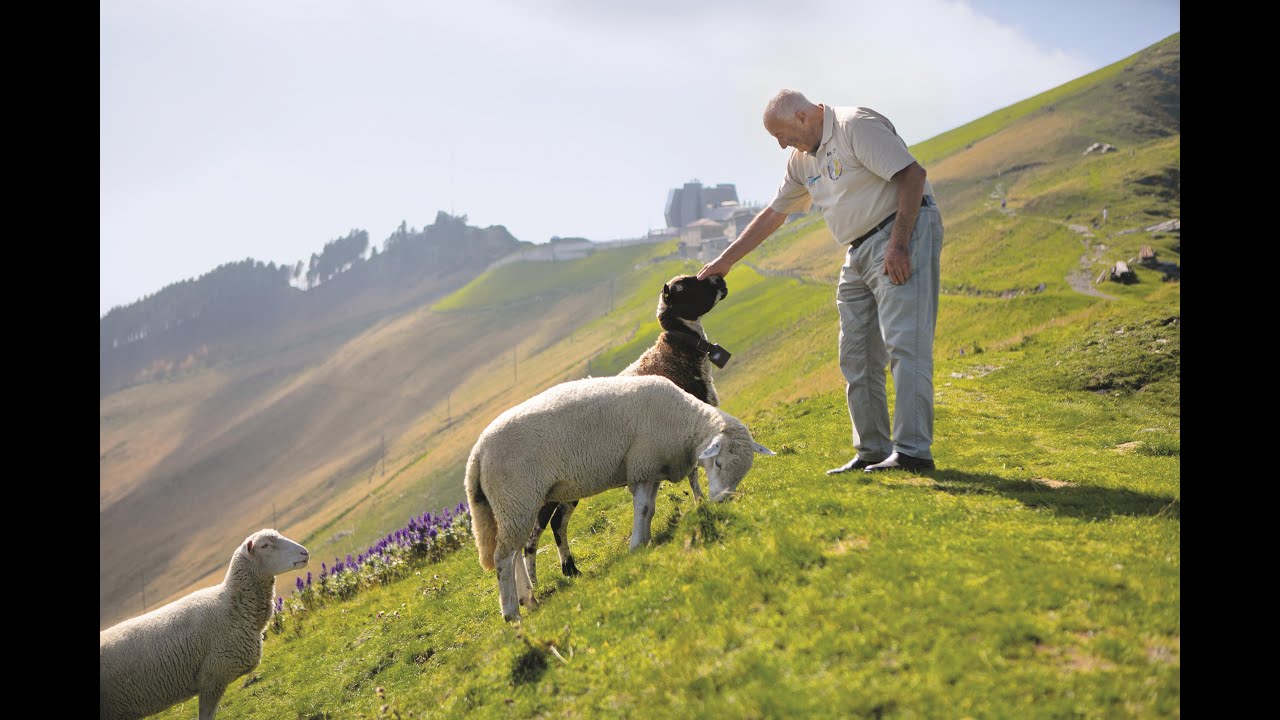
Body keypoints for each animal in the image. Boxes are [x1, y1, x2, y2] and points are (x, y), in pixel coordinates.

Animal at [465, 374, 773, 621]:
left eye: (742, 473)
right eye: (718, 463)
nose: (721, 501)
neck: (683, 421)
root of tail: (477, 452)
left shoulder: (651, 469)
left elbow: (649, 508)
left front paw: (645, 539)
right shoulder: (642, 464)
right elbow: (644, 507)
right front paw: (636, 545)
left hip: (515, 504)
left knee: (514, 552)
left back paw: (529, 599)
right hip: (516, 496)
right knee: (503, 556)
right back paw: (511, 613)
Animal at [522, 273, 731, 585]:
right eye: (686, 287)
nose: (719, 279)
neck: (674, 356)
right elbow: (695, 474)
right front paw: (703, 503)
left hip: (569, 486)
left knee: (558, 522)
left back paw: (571, 570)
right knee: (531, 538)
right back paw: (534, 585)